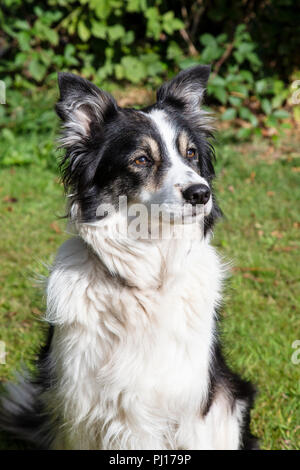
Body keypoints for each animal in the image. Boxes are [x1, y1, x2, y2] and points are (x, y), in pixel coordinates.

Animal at [0, 65, 258, 448]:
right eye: (141, 160)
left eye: (191, 154)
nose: (201, 193)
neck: (147, 277)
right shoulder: (80, 404)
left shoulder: (191, 403)